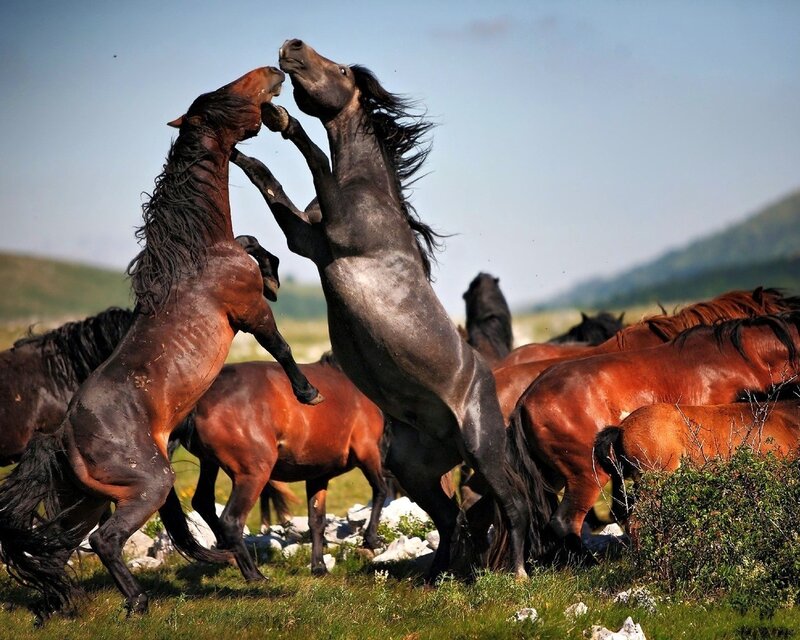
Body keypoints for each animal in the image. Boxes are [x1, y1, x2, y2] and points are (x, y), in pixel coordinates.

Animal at [0, 67, 323, 620]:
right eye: (224, 96)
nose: (274, 73)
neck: (198, 255)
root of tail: (61, 436)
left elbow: (254, 244)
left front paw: (275, 274)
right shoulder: (247, 312)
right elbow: (279, 345)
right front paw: (308, 392)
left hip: (91, 498)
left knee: (59, 546)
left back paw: (61, 604)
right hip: (148, 486)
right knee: (104, 541)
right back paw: (137, 602)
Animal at [166, 352, 388, 579]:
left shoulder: (317, 475)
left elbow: (317, 521)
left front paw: (319, 567)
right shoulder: (367, 450)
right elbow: (380, 490)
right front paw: (372, 540)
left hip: (210, 463)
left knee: (203, 502)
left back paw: (229, 555)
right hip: (253, 474)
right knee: (231, 521)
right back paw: (254, 575)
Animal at [230, 40, 536, 579]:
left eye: (341, 69)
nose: (291, 46)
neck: (369, 191)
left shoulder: (335, 233)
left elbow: (313, 157)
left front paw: (283, 120)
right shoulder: (308, 241)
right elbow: (269, 185)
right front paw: (243, 150)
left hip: (483, 451)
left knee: (513, 505)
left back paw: (516, 574)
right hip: (414, 469)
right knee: (450, 517)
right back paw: (434, 576)